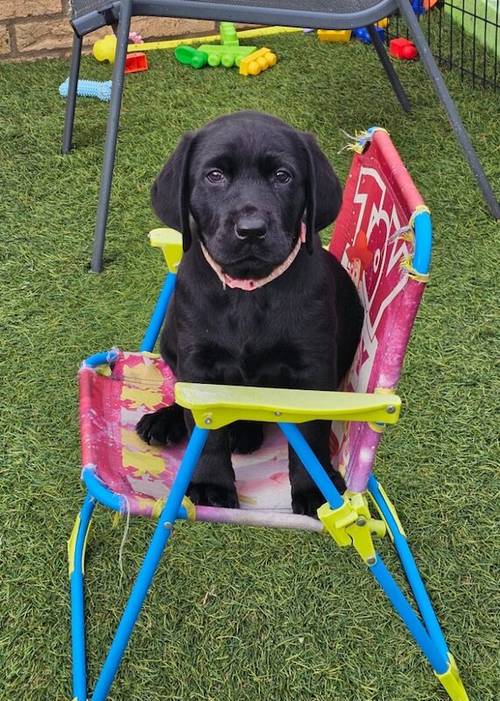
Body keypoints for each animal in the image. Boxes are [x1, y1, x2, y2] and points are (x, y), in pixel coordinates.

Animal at [137, 112, 364, 516]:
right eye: (214, 175)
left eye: (282, 176)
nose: (252, 230)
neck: (250, 290)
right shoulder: (199, 367)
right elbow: (205, 431)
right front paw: (210, 484)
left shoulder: (312, 370)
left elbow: (310, 436)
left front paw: (314, 490)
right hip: (170, 341)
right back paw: (167, 420)